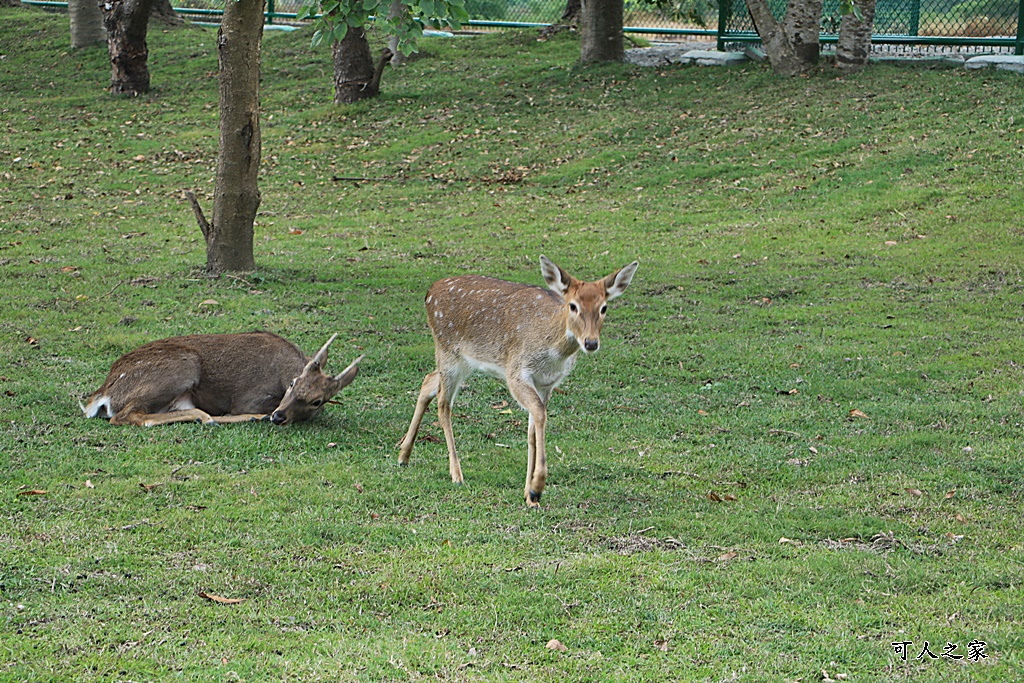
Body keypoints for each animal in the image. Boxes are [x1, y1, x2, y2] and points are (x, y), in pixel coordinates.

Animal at [83, 331, 364, 428]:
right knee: (127, 416)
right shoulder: (248, 399)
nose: (279, 416)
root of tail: (103, 395)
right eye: (294, 383)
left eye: (318, 401)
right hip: (183, 368)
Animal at [395, 253, 634, 505]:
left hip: (461, 361)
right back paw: (456, 474)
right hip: (447, 349)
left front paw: (530, 495)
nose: (591, 342)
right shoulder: (516, 371)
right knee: (443, 404)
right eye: (573, 306)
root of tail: (429, 291)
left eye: (604, 307)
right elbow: (539, 414)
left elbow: (532, 428)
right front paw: (537, 487)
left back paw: (403, 456)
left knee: (428, 380)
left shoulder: (547, 383)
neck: (552, 351)